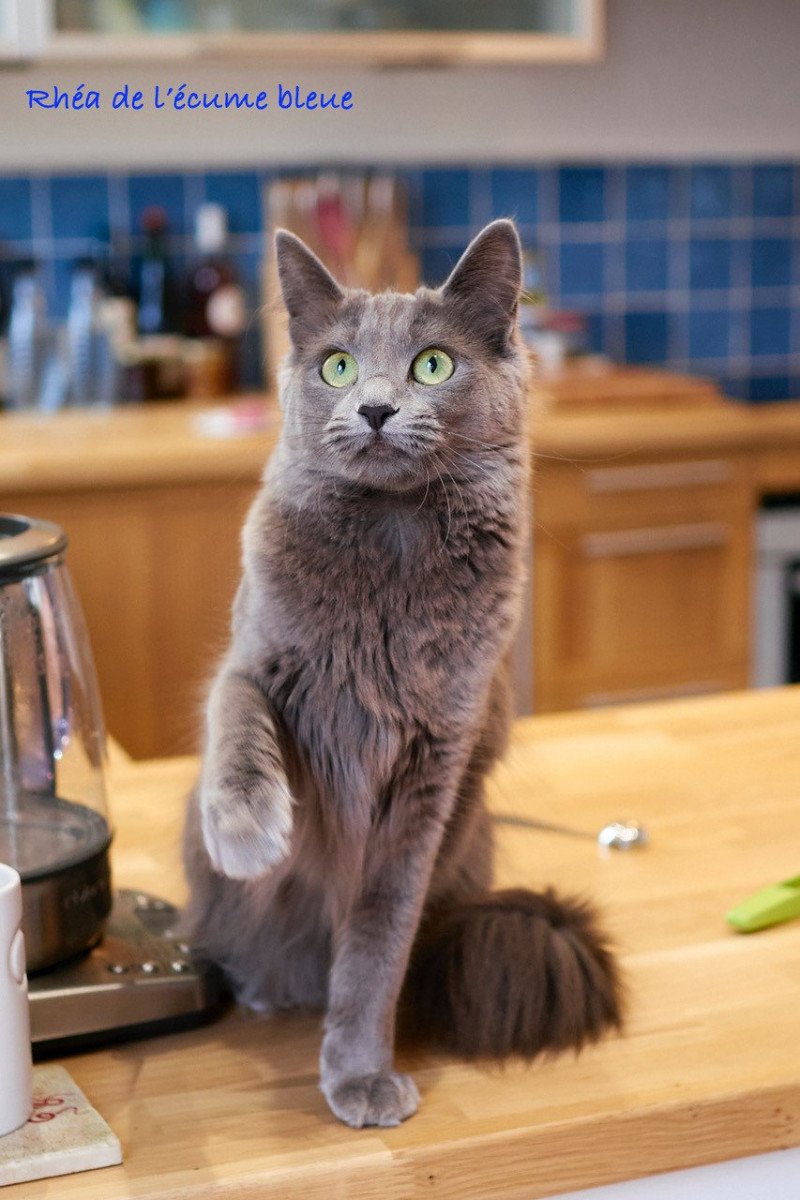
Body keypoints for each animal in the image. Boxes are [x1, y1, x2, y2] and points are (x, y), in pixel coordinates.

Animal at [181, 220, 618, 1128]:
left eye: (433, 365)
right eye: (338, 366)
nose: (376, 408)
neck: (389, 542)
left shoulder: (433, 765)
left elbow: (377, 944)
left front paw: (359, 1074)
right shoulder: (255, 659)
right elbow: (235, 715)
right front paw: (249, 830)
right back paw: (261, 982)